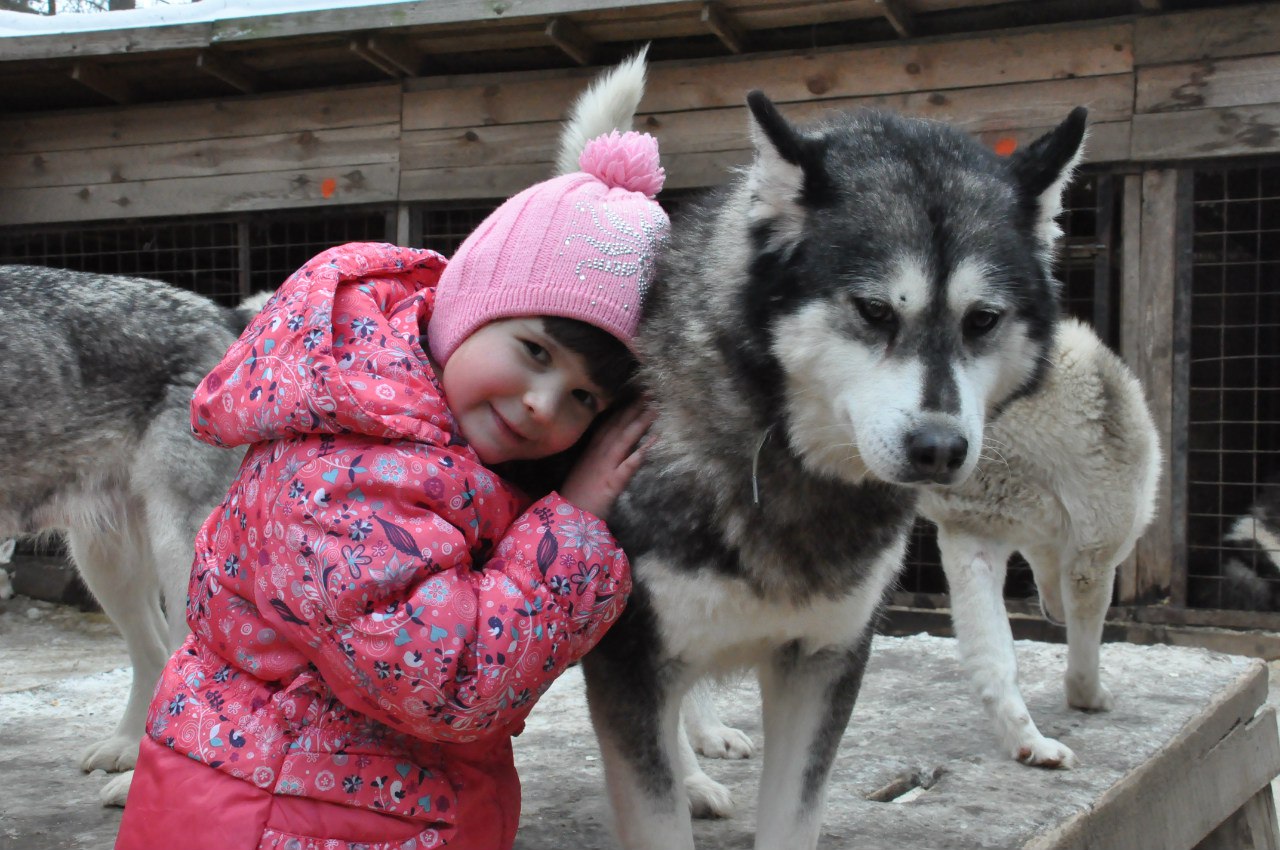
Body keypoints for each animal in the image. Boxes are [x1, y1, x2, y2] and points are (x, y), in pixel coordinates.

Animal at [570, 54, 1090, 850]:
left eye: (983, 320)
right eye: (874, 311)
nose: (939, 448)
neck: (777, 464)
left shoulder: (822, 663)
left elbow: (793, 814)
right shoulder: (630, 658)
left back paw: (695, 767)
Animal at [916, 318, 1157, 768]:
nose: (1054, 617)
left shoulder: (970, 536)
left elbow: (994, 664)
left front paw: (1026, 743)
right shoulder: (1093, 562)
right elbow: (1083, 660)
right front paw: (1088, 699)